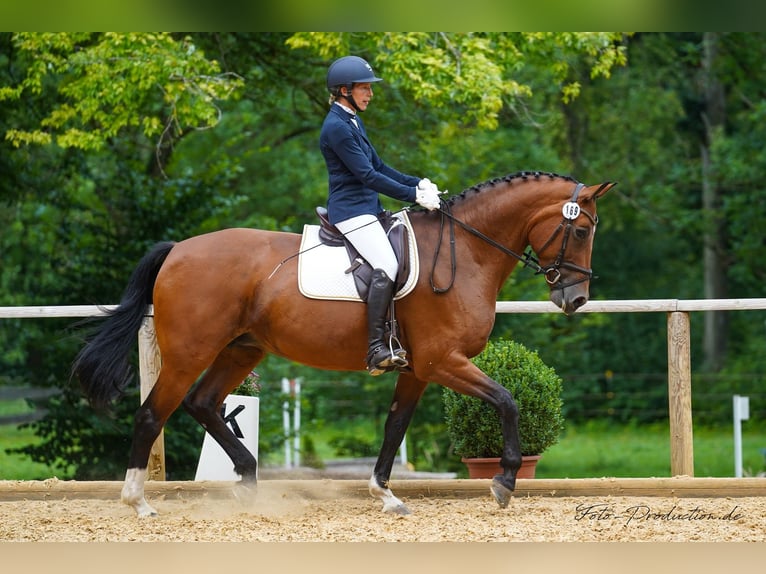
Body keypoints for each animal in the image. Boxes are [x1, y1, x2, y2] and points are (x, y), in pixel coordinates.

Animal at [73, 170, 616, 516]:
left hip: (241, 349)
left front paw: (385, 494)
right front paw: (503, 483)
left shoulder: (418, 370)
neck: (466, 252)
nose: (575, 299)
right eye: (581, 231)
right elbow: (506, 401)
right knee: (153, 413)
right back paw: (139, 502)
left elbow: (395, 427)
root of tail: (178, 249)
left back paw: (248, 482)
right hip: (191, 352)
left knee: (203, 403)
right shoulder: (443, 362)